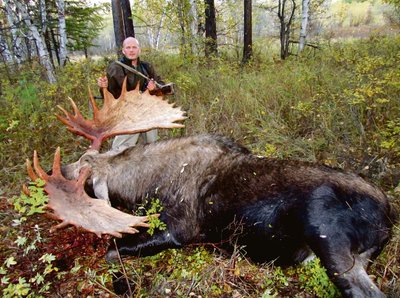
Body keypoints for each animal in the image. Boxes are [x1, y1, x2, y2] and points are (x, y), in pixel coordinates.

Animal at [28, 80, 396, 296]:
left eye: (85, 175)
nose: (54, 170)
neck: (143, 185)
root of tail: (389, 219)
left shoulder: (181, 230)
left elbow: (111, 252)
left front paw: (122, 286)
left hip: (331, 242)